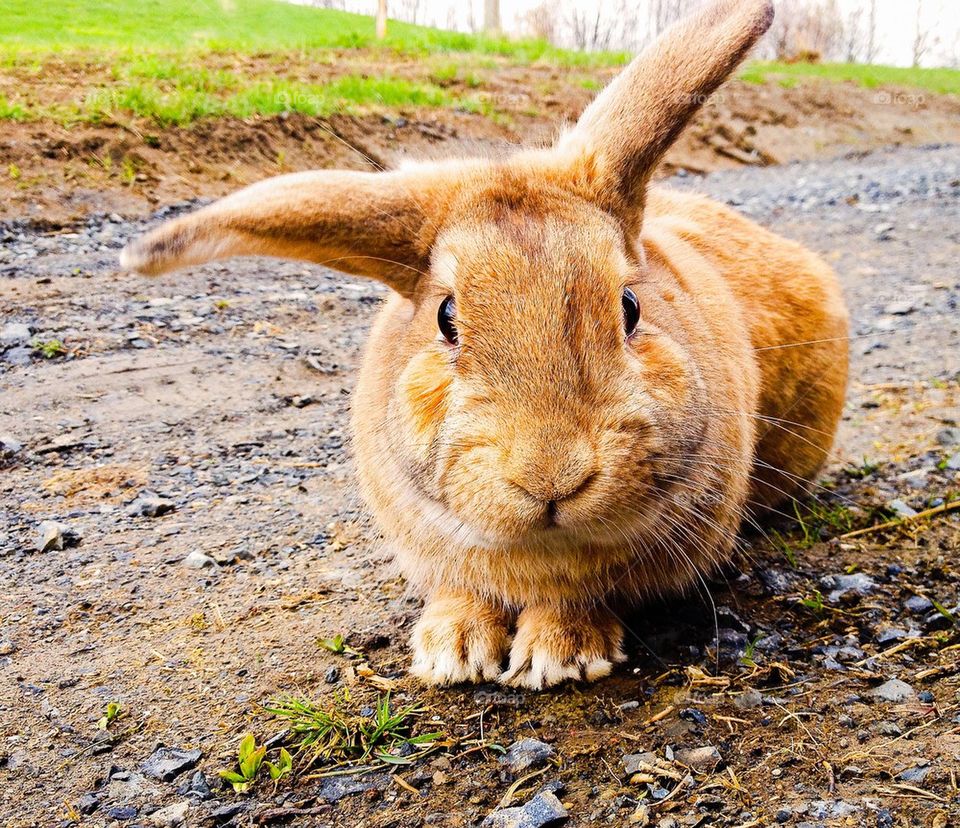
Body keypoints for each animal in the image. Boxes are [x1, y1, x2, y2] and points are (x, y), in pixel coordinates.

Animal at [120, 0, 849, 690]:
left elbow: (578, 601)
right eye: (447, 319)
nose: (551, 476)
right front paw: (454, 650)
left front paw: (558, 656)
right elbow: (458, 592)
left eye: (629, 307)